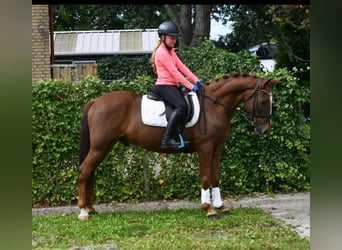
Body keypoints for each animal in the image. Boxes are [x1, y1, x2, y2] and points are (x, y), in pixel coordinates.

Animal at [77, 71, 278, 220]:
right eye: (263, 101)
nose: (265, 129)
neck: (213, 106)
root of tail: (96, 101)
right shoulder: (205, 148)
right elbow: (206, 177)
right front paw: (208, 209)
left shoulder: (216, 148)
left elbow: (215, 177)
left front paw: (221, 206)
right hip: (100, 147)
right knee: (84, 172)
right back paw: (83, 211)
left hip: (101, 148)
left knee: (90, 172)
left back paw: (91, 208)